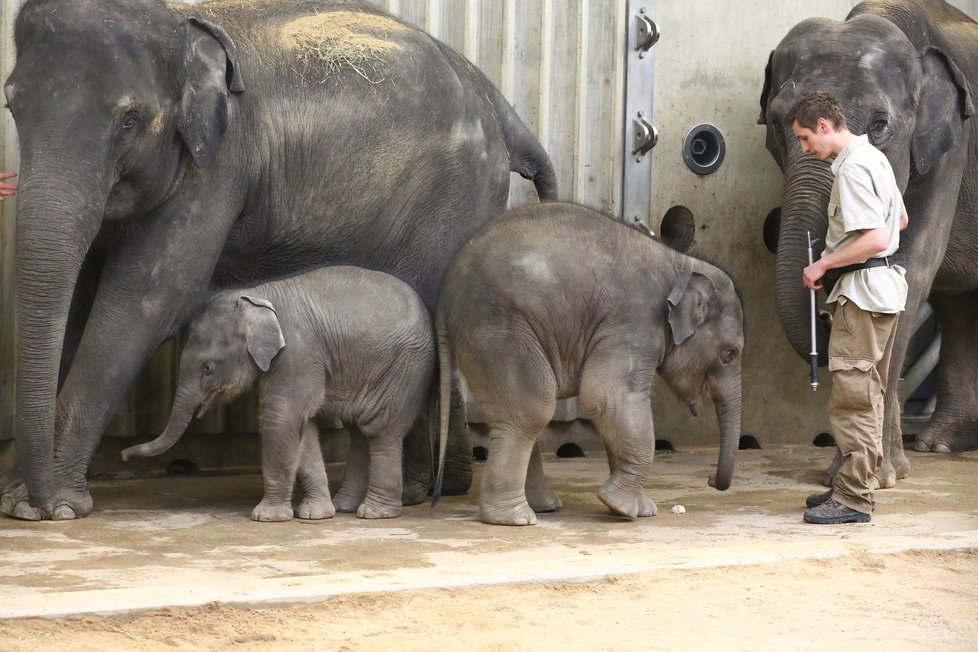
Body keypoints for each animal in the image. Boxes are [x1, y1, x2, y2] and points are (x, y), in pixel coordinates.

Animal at [120, 264, 432, 520]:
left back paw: (375, 513)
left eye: (208, 368)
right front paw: (315, 514)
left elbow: (281, 418)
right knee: (358, 432)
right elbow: (303, 427)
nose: (123, 456)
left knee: (379, 431)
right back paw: (345, 507)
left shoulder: (298, 353)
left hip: (405, 370)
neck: (256, 296)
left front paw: (267, 517)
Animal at [430, 204, 744, 524]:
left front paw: (639, 510)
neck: (681, 264)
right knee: (531, 409)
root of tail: (444, 296)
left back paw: (541, 506)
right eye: (730, 353)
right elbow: (608, 395)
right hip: (499, 330)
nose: (711, 480)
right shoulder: (634, 323)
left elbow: (612, 407)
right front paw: (623, 508)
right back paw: (516, 518)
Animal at [760, 0, 976, 488]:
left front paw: (872, 477)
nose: (822, 318)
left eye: (880, 125)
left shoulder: (950, 151)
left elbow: (909, 269)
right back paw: (941, 445)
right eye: (779, 124)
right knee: (959, 305)